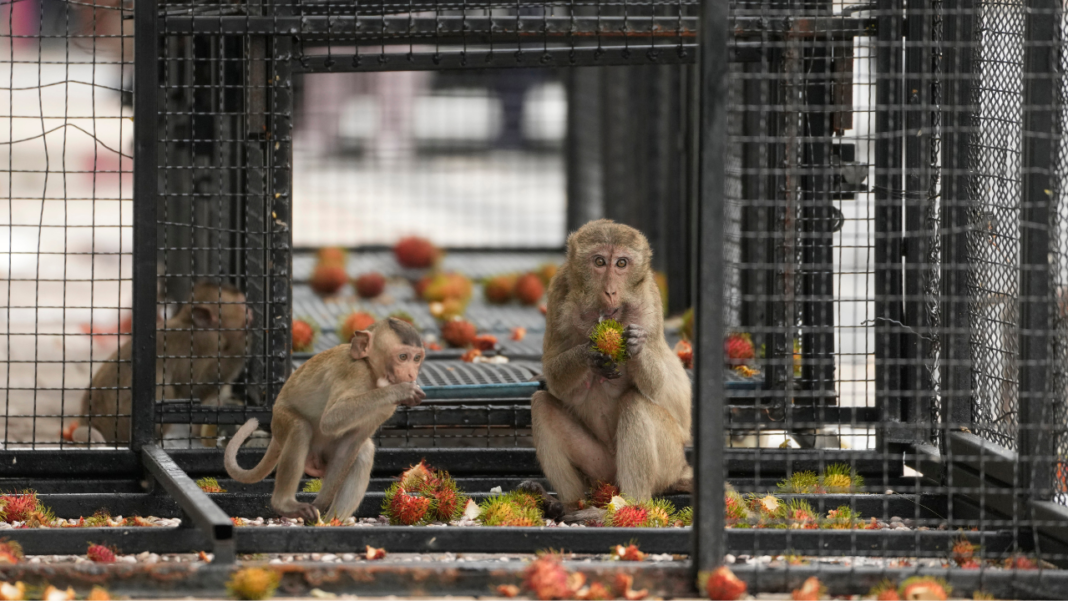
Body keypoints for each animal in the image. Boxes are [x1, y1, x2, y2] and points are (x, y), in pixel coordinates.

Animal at [72, 279, 252, 444]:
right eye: (241, 304)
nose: (250, 311)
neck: (191, 323)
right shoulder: (204, 341)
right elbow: (191, 389)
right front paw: (242, 344)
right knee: (167, 390)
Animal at [224, 320, 425, 523]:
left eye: (416, 358)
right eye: (402, 357)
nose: (411, 374)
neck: (372, 373)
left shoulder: (386, 409)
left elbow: (351, 443)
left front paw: (320, 506)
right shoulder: (355, 372)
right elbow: (331, 419)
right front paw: (402, 390)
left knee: (364, 452)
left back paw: (333, 521)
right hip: (280, 423)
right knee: (299, 428)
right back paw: (284, 504)